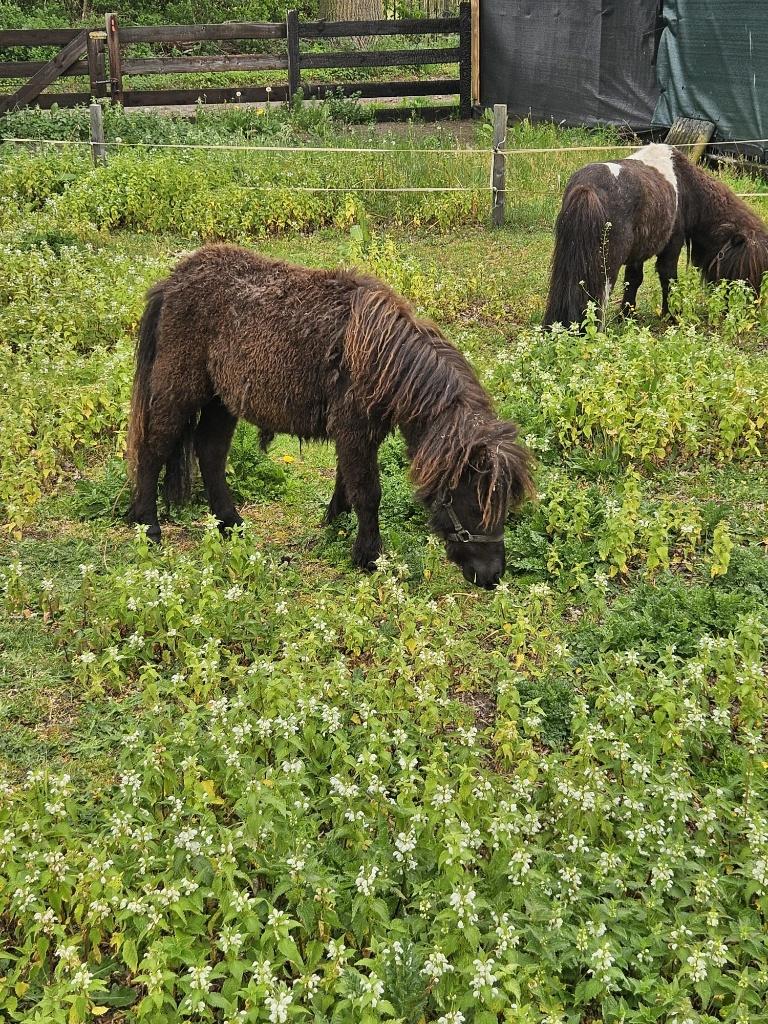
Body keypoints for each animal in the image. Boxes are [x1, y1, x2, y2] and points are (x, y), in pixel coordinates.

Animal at [126, 244, 532, 590]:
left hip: (221, 401)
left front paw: (334, 523)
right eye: (475, 501)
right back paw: (148, 526)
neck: (382, 357)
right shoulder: (354, 430)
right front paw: (369, 556)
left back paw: (231, 525)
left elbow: (346, 483)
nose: (492, 575)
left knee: (210, 453)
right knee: (153, 449)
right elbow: (368, 493)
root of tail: (171, 281)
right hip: (180, 391)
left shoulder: (357, 434)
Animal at [542, 142, 768, 328]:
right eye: (744, 271)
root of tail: (586, 189)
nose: (748, 313)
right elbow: (669, 279)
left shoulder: (637, 254)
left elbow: (633, 280)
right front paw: (673, 316)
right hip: (606, 267)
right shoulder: (671, 246)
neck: (685, 186)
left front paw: (628, 316)